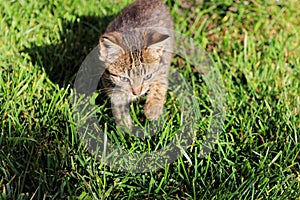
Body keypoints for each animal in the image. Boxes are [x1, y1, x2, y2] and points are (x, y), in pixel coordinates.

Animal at [98, 0, 173, 128]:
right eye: (124, 78)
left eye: (147, 76)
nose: (137, 93)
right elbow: (117, 99)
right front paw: (124, 123)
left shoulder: (162, 64)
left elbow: (160, 83)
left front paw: (153, 109)